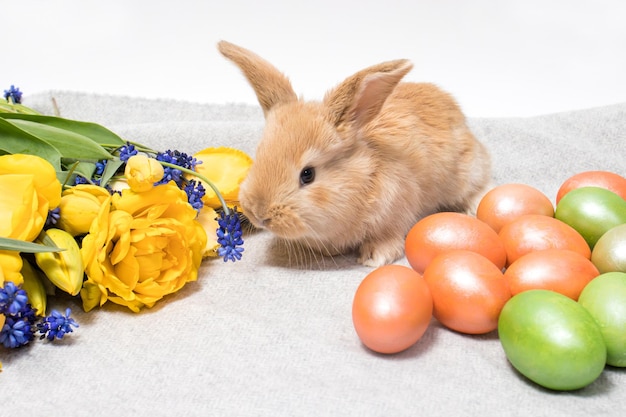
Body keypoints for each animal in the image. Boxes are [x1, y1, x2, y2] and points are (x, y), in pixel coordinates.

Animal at [217, 39, 490, 266]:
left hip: (466, 172)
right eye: (259, 154)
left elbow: (389, 236)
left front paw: (374, 257)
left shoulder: (397, 209)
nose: (259, 214)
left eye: (307, 174)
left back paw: (475, 206)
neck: (359, 178)